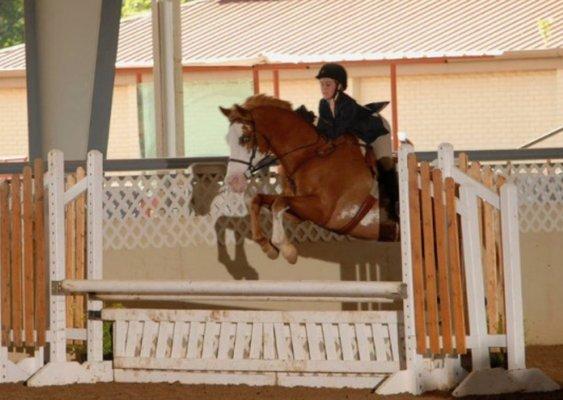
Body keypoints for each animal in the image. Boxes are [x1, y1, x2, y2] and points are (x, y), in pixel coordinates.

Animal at [220, 94, 400, 266]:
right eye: (227, 139)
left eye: (245, 138)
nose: (233, 181)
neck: (310, 157)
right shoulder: (298, 214)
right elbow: (259, 200)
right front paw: (268, 247)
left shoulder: (324, 211)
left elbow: (279, 203)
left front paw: (287, 251)